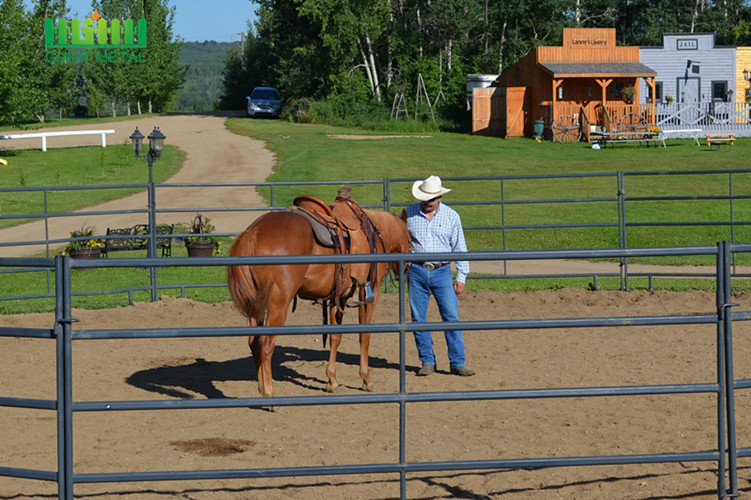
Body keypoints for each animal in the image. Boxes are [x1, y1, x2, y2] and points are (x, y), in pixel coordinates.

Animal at [228, 199, 412, 398]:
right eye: (412, 240)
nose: (406, 271)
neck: (376, 235)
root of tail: (254, 231)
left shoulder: (337, 298)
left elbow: (335, 337)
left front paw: (332, 381)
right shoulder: (370, 294)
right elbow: (365, 335)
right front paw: (367, 380)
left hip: (256, 306)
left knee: (253, 342)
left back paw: (262, 389)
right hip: (278, 305)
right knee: (265, 344)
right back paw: (270, 393)